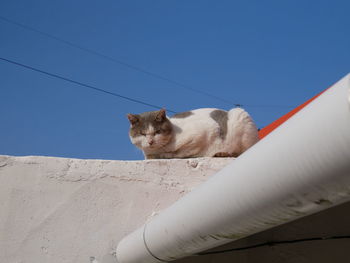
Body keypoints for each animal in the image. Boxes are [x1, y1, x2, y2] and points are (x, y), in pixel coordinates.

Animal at [127, 108, 258, 160]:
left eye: (157, 132)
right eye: (142, 134)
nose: (150, 141)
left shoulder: (204, 132)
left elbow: (181, 152)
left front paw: (166, 155)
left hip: (239, 115)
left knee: (241, 151)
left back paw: (223, 153)